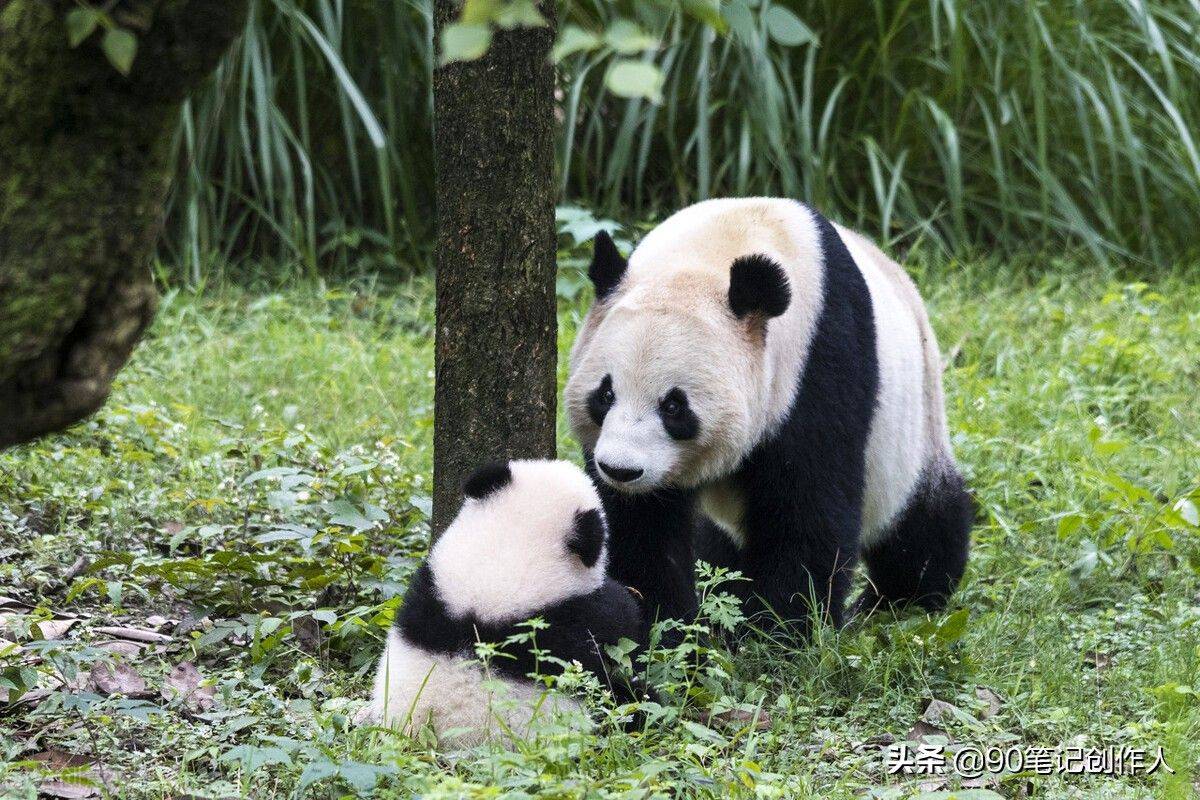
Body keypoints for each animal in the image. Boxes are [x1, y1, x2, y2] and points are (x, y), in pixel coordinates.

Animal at [564, 199, 974, 633]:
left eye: (673, 406)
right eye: (606, 394)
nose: (621, 470)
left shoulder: (818, 364)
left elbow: (806, 508)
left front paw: (778, 628)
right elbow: (640, 526)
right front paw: (665, 623)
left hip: (915, 419)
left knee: (920, 524)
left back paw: (901, 597)